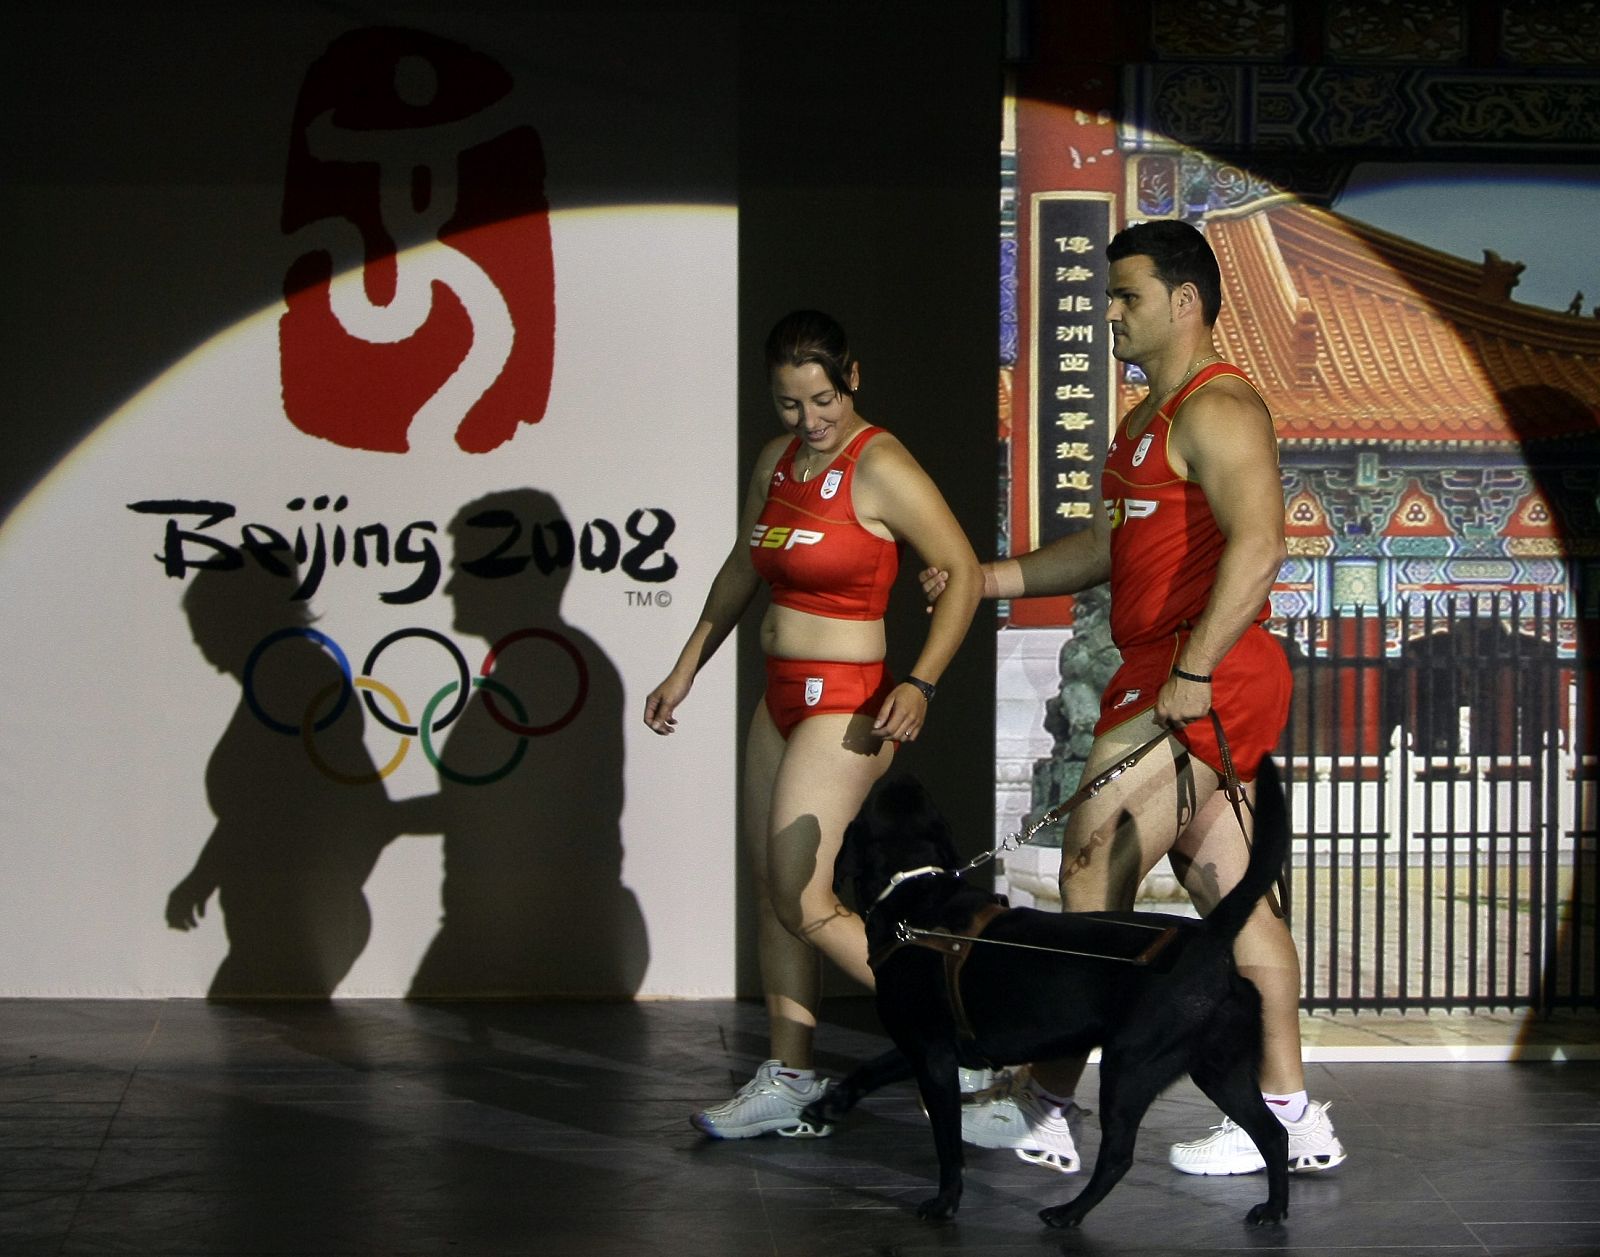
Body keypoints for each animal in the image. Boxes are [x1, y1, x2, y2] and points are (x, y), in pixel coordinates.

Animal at [806, 754, 1292, 1221]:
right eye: (915, 803)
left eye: (874, 805)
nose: (902, 773)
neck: (912, 890)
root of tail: (1208, 936)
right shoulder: (919, 1045)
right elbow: (868, 1069)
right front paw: (827, 1106)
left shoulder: (934, 1058)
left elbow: (948, 1144)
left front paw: (944, 1204)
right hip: (1219, 1069)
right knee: (1274, 1133)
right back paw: (1273, 1210)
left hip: (1130, 1065)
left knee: (1119, 1155)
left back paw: (1068, 1213)